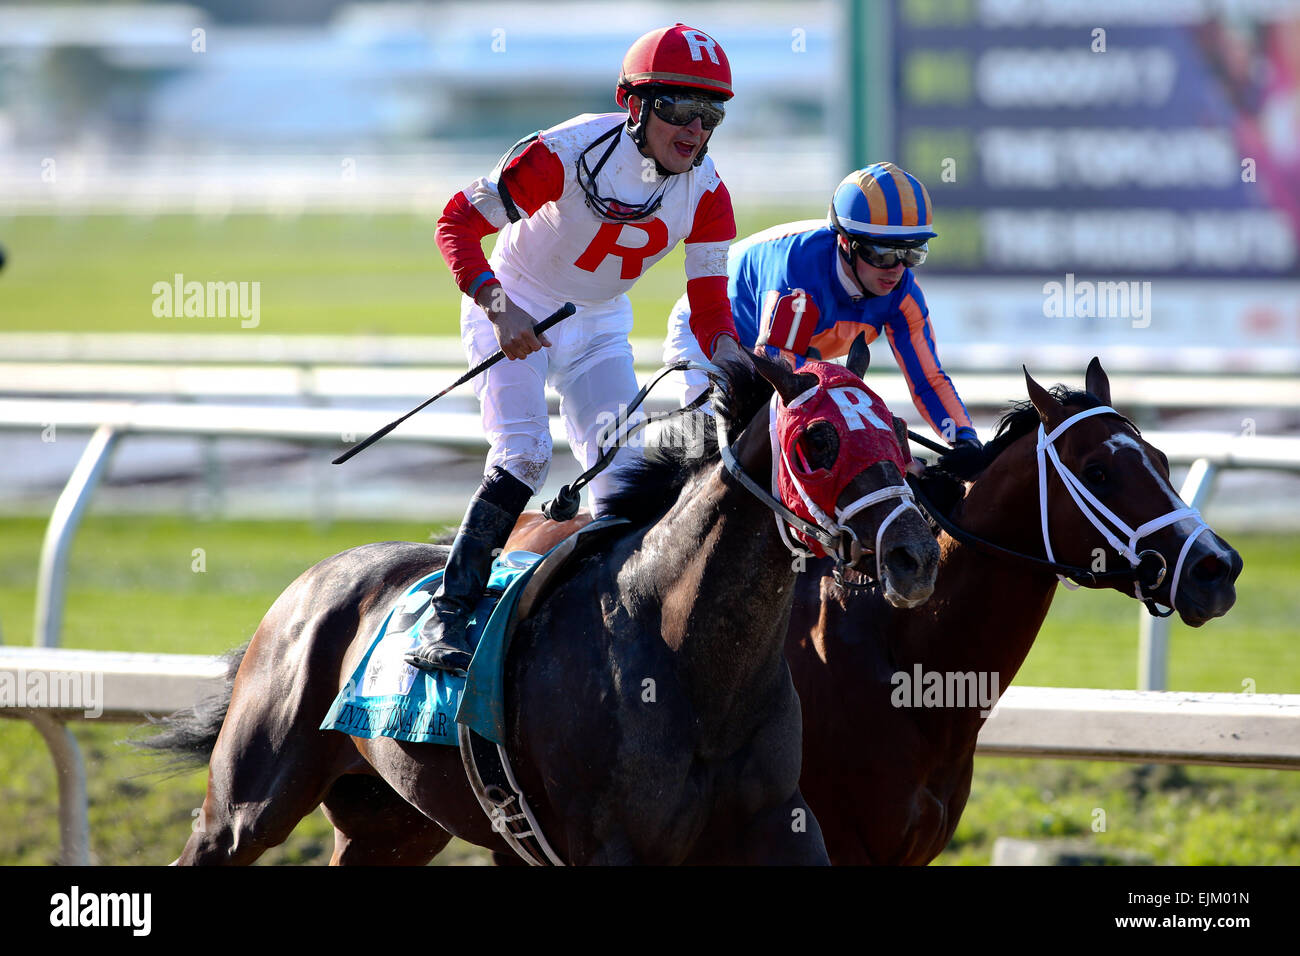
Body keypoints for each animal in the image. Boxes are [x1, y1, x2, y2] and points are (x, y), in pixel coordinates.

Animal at [142, 351, 941, 868]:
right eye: (818, 439)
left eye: (898, 433)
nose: (914, 553)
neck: (690, 664)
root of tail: (309, 582)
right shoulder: (609, 846)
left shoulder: (781, 824)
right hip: (247, 807)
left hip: (389, 821)